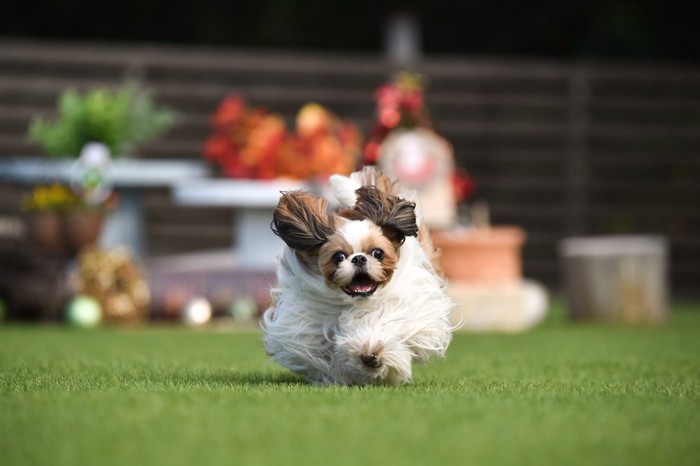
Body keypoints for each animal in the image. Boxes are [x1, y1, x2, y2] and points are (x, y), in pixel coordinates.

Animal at [260, 167, 452, 386]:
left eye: (378, 253)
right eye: (338, 257)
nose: (359, 258)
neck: (356, 304)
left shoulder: (406, 306)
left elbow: (384, 325)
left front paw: (371, 352)